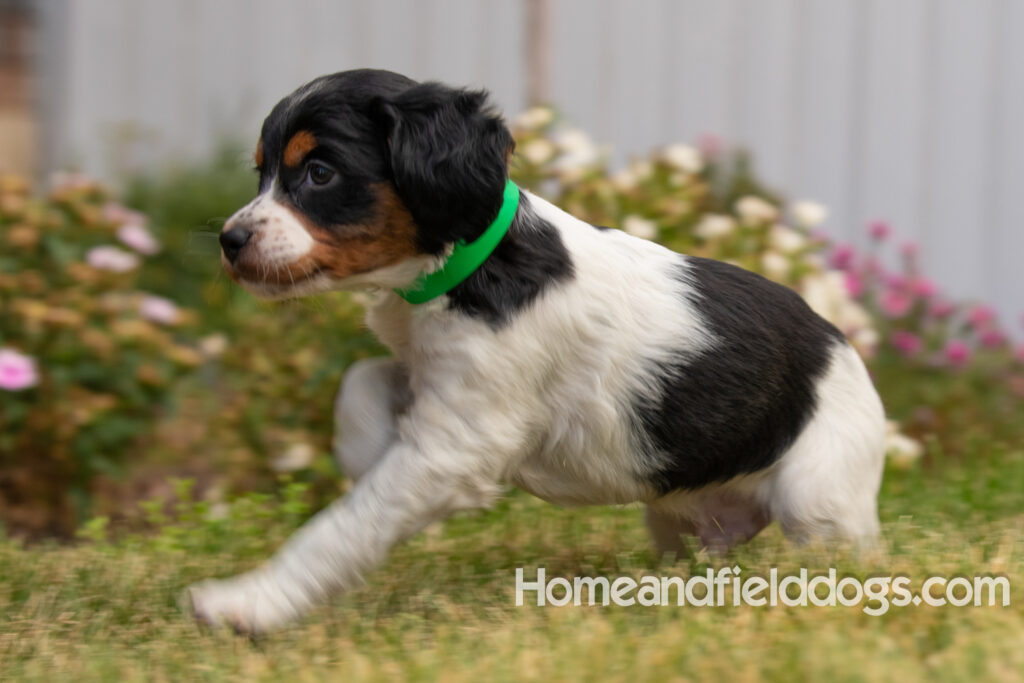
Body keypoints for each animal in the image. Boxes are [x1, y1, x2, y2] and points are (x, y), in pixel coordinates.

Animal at [192, 70, 888, 634]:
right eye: (262, 172)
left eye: (319, 173)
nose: (229, 240)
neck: (467, 268)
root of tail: (846, 346)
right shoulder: (436, 380)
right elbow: (361, 380)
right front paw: (364, 448)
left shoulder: (455, 447)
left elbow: (343, 527)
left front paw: (247, 603)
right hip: (679, 514)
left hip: (819, 497)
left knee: (846, 557)